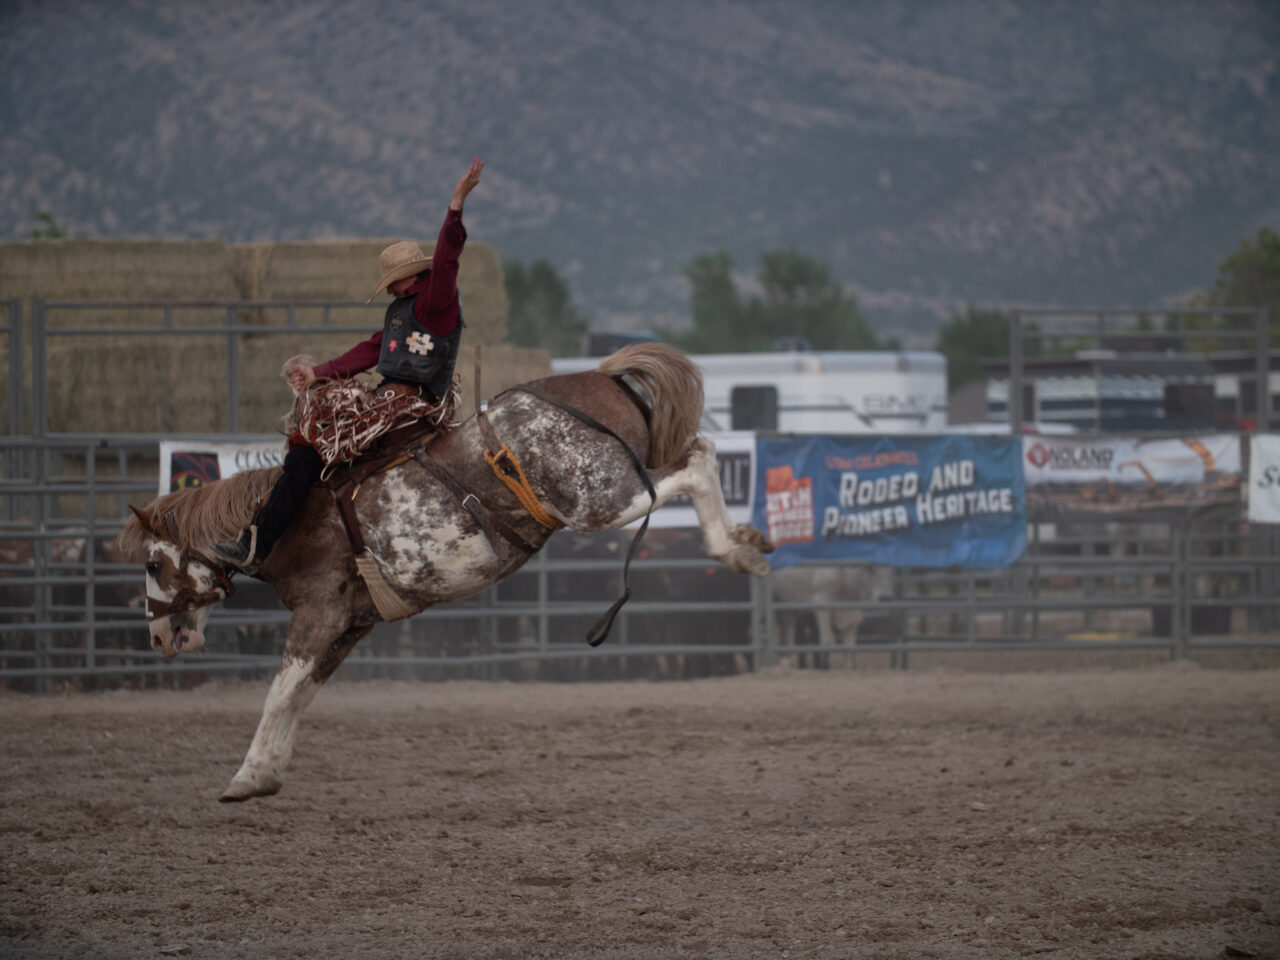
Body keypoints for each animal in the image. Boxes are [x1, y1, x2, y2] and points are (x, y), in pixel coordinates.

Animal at [118, 344, 774, 802]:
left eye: (152, 562)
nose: (159, 636)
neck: (287, 520)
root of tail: (601, 375)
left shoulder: (319, 612)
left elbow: (279, 691)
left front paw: (244, 776)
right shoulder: (351, 624)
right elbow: (301, 694)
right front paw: (267, 774)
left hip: (601, 499)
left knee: (696, 465)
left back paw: (735, 550)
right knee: (701, 453)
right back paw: (747, 543)